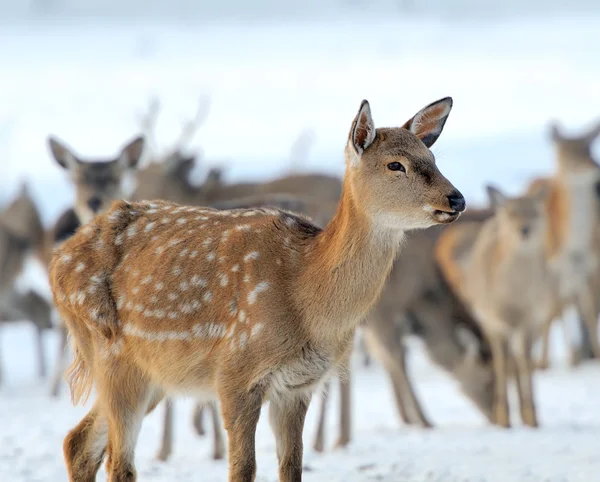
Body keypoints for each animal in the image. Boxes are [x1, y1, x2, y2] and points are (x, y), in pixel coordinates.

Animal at [49, 96, 466, 480]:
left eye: (432, 157)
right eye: (396, 164)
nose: (457, 198)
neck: (305, 294)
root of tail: (57, 260)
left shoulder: (298, 386)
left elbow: (292, 466)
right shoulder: (234, 373)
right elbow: (243, 469)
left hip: (153, 375)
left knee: (77, 441)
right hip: (111, 353)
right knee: (118, 463)